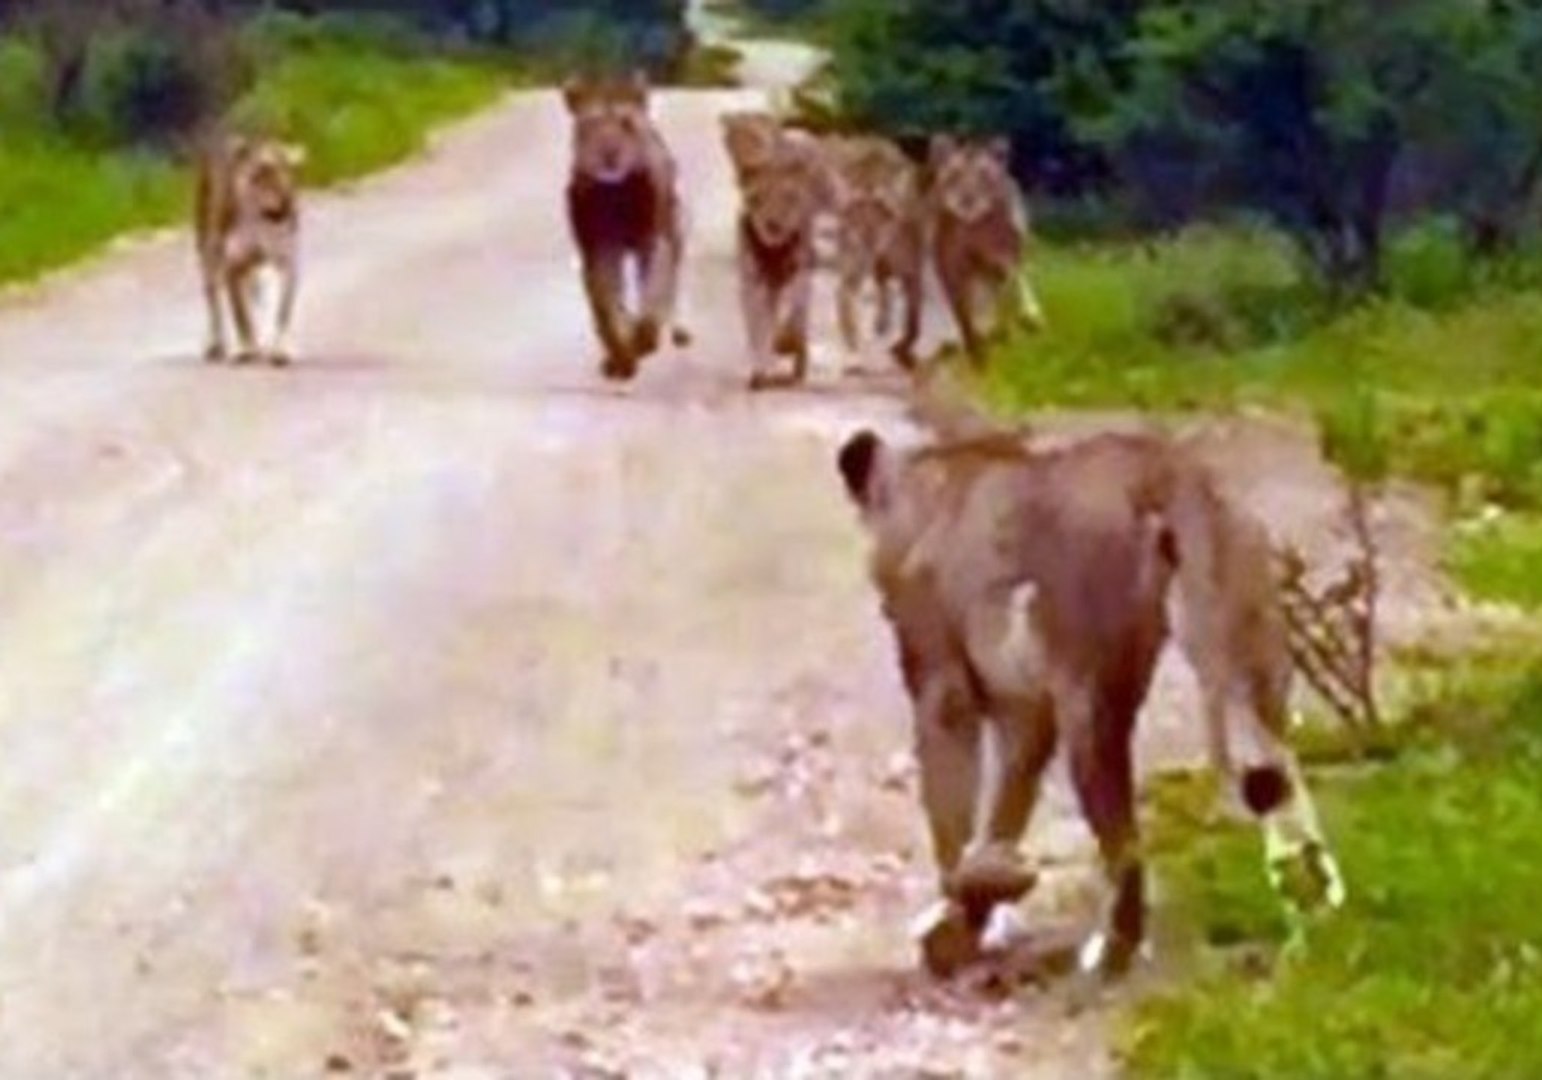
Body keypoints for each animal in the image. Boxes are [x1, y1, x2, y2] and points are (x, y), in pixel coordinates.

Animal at [194, 129, 305, 367]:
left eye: (286, 172)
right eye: (259, 175)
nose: (283, 207)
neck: (262, 219)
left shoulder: (287, 261)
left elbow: (282, 309)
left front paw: (279, 351)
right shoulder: (232, 265)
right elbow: (241, 315)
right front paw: (247, 350)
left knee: (256, 295)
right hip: (209, 251)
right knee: (213, 301)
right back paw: (216, 346)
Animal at [564, 69, 690, 381]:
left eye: (627, 125)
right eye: (591, 124)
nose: (609, 153)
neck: (615, 194)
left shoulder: (652, 240)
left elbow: (652, 295)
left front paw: (644, 340)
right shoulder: (599, 248)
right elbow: (608, 305)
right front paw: (621, 354)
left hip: (677, 225)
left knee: (672, 284)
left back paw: (677, 331)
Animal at [832, 134, 925, 371]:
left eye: (878, 221)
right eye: (850, 223)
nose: (861, 244)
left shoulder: (912, 272)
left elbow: (913, 319)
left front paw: (903, 346)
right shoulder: (849, 274)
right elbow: (847, 313)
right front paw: (854, 353)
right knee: (881, 288)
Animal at [838, 425, 1344, 981]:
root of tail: (1163, 463)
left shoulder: (944, 685)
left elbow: (954, 815)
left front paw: (957, 925)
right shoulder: (1026, 710)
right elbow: (1006, 806)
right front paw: (984, 907)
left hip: (1089, 698)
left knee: (1126, 840)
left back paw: (1111, 951)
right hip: (1251, 648)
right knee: (1280, 776)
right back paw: (1320, 916)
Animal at [925, 133, 1048, 362]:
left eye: (984, 175)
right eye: (955, 174)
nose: (967, 199)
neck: (974, 227)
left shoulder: (1003, 258)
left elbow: (1006, 293)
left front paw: (1002, 332)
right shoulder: (950, 265)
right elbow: (960, 307)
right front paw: (970, 340)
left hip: (1016, 248)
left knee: (1018, 276)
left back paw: (1029, 314)